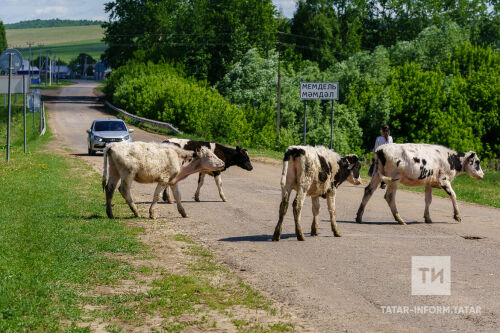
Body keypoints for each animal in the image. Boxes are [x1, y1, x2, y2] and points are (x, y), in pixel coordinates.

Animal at [356, 141, 484, 224]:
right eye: (477, 162)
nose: (482, 175)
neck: (450, 159)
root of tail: (380, 149)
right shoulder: (444, 180)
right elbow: (453, 195)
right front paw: (457, 216)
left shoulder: (428, 183)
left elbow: (428, 200)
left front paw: (428, 218)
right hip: (394, 179)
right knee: (389, 196)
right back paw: (399, 219)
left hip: (377, 175)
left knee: (368, 190)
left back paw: (359, 217)